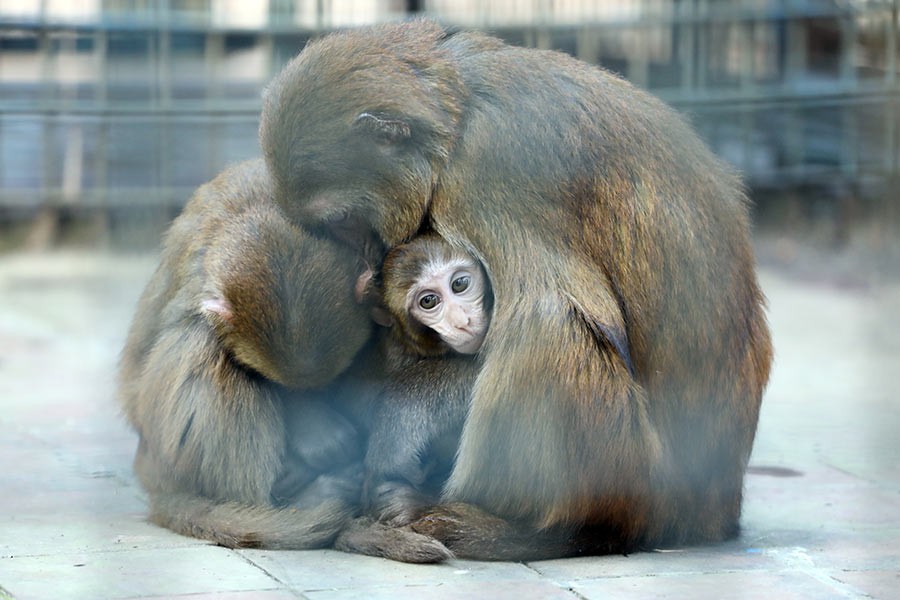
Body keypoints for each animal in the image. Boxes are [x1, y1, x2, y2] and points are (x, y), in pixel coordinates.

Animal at [260, 19, 772, 564]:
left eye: (343, 221)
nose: (362, 270)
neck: (459, 113)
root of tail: (714, 512)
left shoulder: (486, 173)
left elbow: (535, 313)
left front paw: (400, 426)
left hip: (638, 484)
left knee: (548, 320)